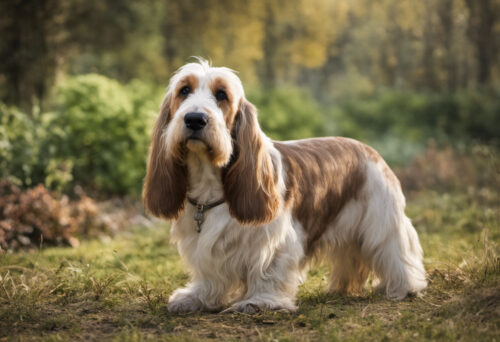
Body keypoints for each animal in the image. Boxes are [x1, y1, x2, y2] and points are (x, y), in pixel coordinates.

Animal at [143, 58, 428, 312]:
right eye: (184, 90)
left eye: (221, 94)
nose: (194, 119)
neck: (209, 183)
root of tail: (368, 149)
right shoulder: (204, 244)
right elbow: (209, 276)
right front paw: (196, 298)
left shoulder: (276, 241)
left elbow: (268, 272)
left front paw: (259, 302)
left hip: (382, 223)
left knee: (396, 253)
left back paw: (405, 287)